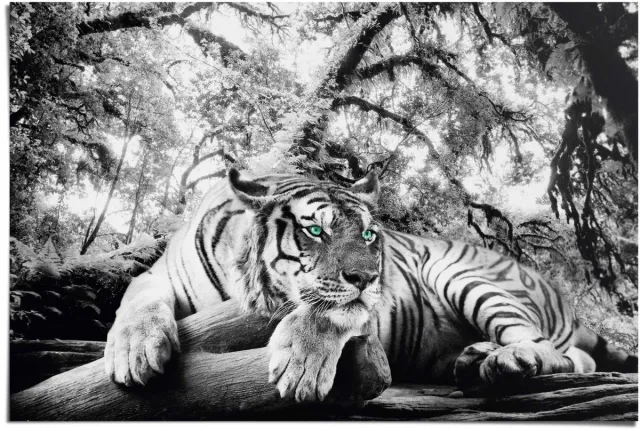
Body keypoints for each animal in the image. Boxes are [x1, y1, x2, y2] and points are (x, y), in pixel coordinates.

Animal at [104, 168, 637, 401]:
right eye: (315, 230)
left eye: (367, 234)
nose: (368, 276)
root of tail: (561, 294)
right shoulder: (157, 275)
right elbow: (136, 298)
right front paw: (134, 351)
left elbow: (327, 312)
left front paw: (300, 366)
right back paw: (473, 358)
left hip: (464, 276)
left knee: (554, 350)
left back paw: (508, 360)